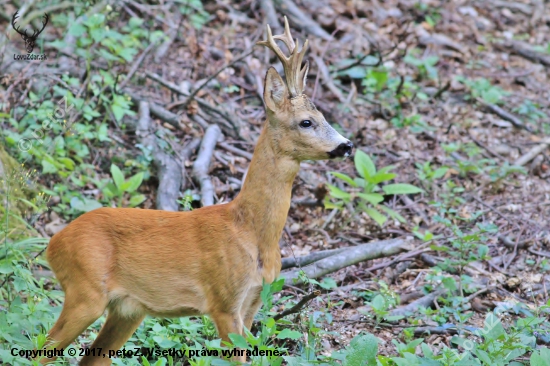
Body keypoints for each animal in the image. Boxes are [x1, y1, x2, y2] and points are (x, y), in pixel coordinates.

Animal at [42, 17, 354, 366]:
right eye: (306, 122)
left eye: (324, 117)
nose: (347, 145)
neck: (251, 232)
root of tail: (53, 244)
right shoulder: (224, 300)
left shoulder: (254, 300)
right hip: (85, 290)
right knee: (42, 351)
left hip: (127, 310)